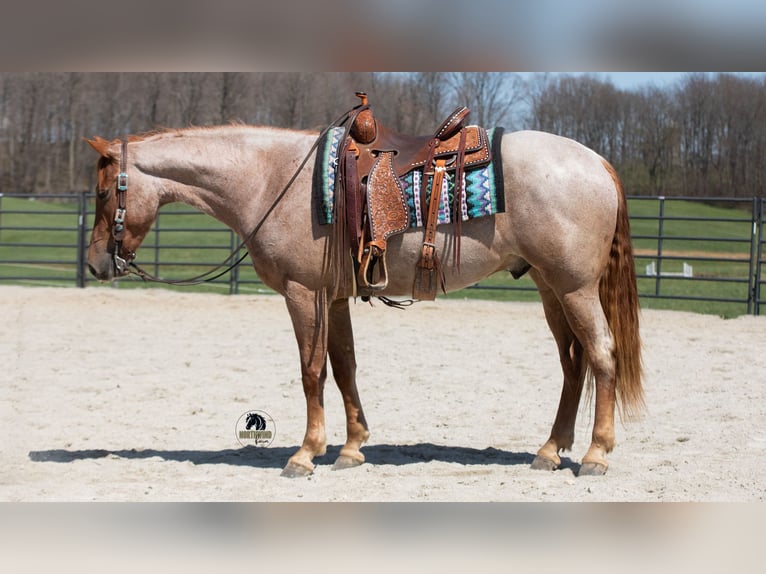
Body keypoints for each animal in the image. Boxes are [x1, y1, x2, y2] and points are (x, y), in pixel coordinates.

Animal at [85, 121, 644, 478]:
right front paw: (351, 448)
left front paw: (306, 454)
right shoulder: (333, 298)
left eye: (102, 192)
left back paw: (595, 455)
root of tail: (596, 160)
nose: (94, 264)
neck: (270, 178)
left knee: (602, 356)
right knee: (573, 365)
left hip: (574, 289)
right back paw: (550, 450)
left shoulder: (303, 294)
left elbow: (312, 371)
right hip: (550, 288)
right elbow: (344, 366)